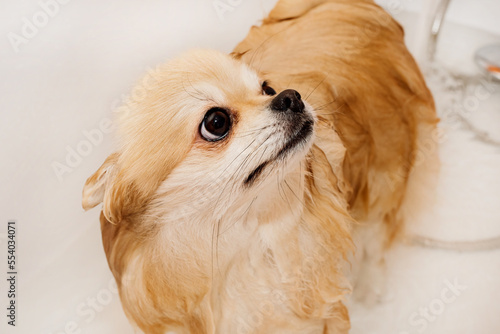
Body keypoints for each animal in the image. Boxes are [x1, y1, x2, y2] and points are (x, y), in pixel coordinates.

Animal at [82, 0, 438, 332]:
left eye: (267, 88)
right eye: (216, 122)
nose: (290, 96)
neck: (245, 245)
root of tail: (352, 7)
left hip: (383, 177)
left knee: (378, 236)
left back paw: (371, 288)